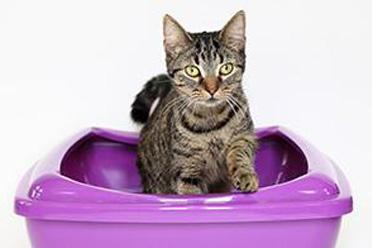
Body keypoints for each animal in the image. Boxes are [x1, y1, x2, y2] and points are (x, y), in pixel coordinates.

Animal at [132, 10, 258, 195]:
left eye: (226, 68)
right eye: (192, 71)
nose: (212, 89)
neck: (212, 120)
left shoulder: (244, 135)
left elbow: (240, 152)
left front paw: (244, 174)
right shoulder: (187, 172)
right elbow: (192, 194)